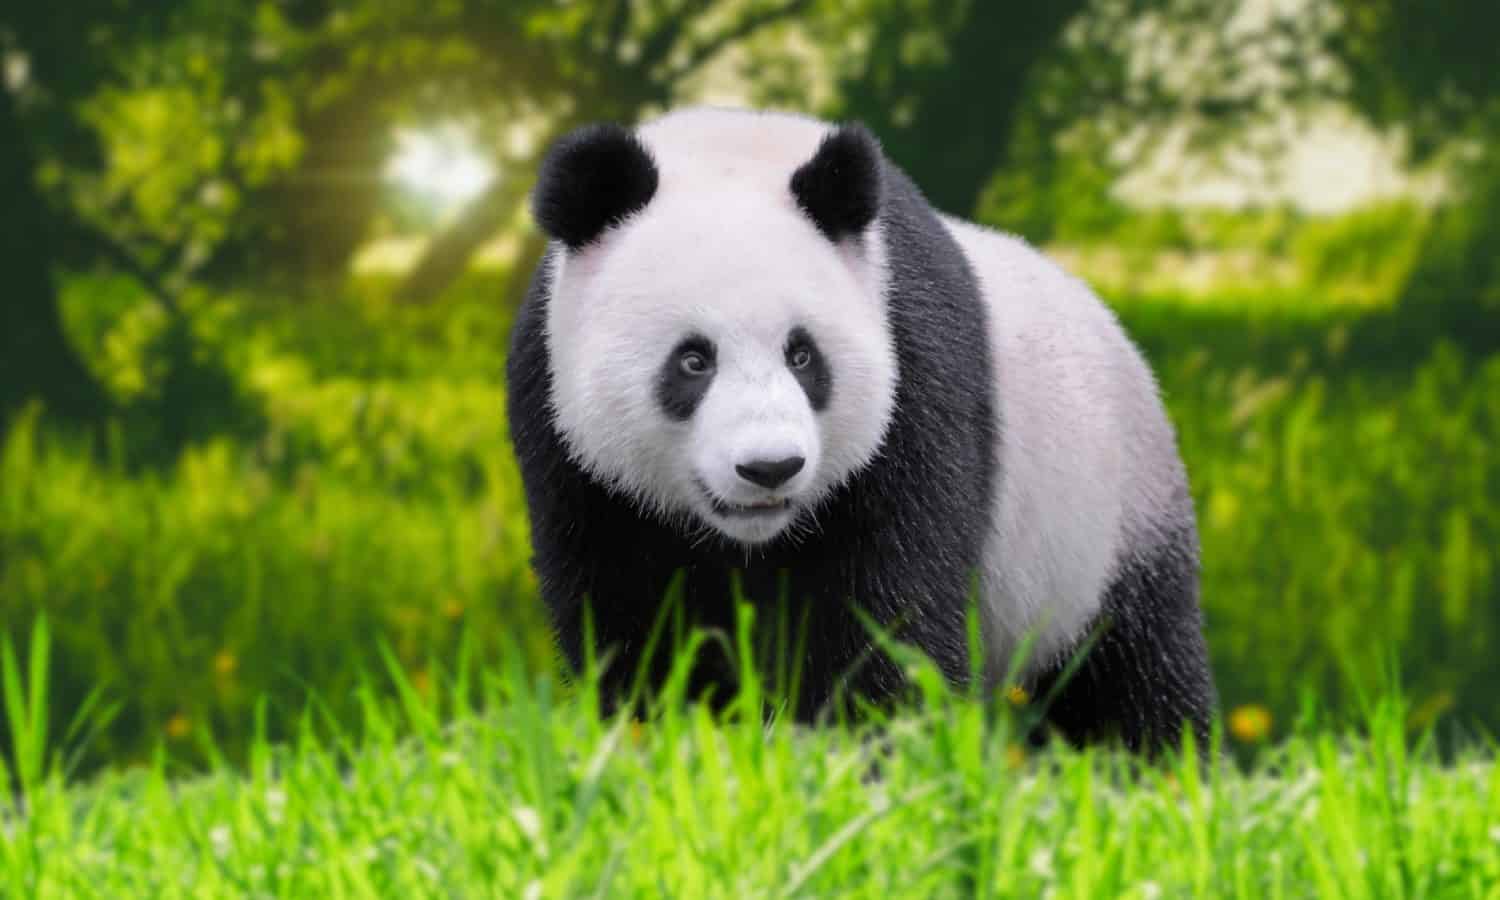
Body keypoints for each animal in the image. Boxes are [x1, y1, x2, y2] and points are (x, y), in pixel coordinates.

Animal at [507, 106, 1216, 754]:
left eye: (802, 355)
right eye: (693, 360)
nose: (770, 468)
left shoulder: (916, 379)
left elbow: (888, 610)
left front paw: (864, 756)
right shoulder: (566, 439)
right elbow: (633, 615)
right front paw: (665, 737)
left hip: (1106, 521)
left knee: (1131, 670)